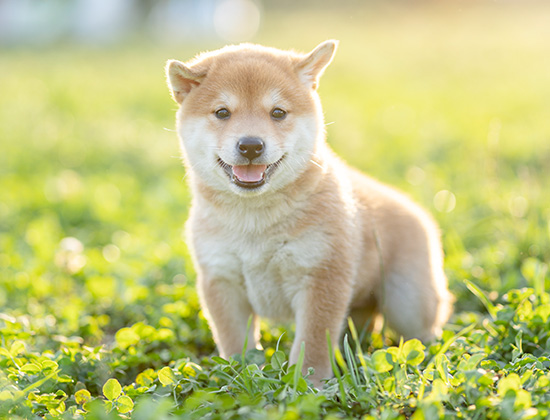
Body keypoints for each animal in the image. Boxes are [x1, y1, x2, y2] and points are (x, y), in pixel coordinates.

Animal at [166, 41, 454, 386]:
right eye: (222, 112)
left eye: (278, 112)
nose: (250, 145)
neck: (255, 222)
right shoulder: (222, 279)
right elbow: (235, 341)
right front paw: (238, 375)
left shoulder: (322, 275)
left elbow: (314, 340)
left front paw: (309, 383)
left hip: (409, 303)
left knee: (424, 331)